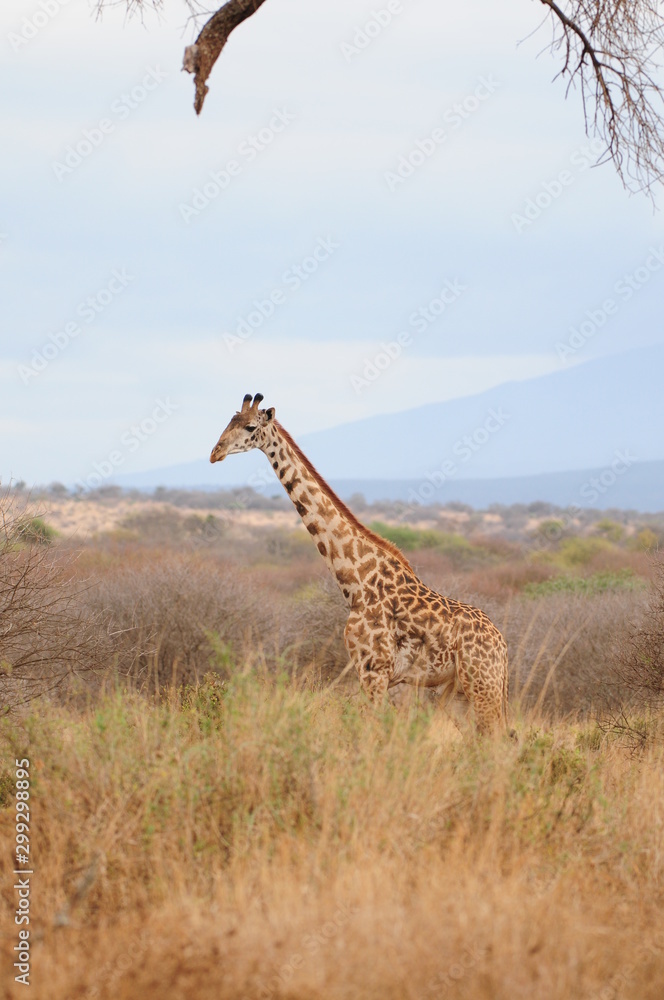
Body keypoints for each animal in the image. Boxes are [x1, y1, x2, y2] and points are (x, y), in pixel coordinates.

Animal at [210, 393, 510, 734]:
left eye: (249, 427)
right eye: (228, 422)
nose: (215, 453)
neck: (356, 579)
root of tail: (502, 646)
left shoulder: (373, 670)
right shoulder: (373, 674)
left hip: (483, 686)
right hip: (460, 692)